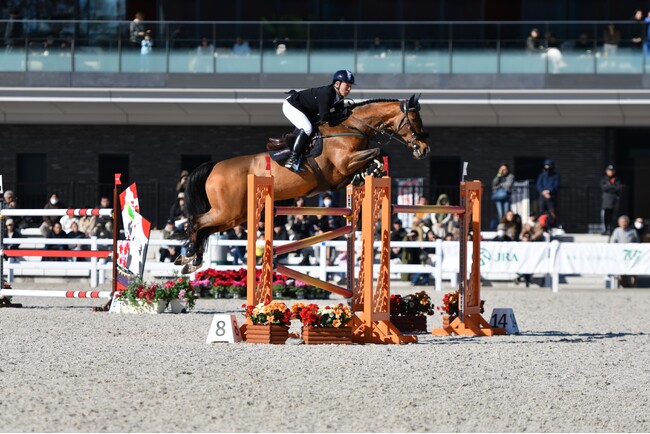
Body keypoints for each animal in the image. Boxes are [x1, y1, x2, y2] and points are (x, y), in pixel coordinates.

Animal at [175, 94, 430, 273]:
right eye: (414, 120)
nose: (425, 150)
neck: (352, 128)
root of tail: (215, 166)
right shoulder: (344, 163)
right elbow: (377, 151)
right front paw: (373, 168)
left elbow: (378, 154)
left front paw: (370, 171)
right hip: (227, 211)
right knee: (196, 222)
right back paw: (189, 255)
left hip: (234, 216)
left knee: (205, 228)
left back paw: (192, 260)